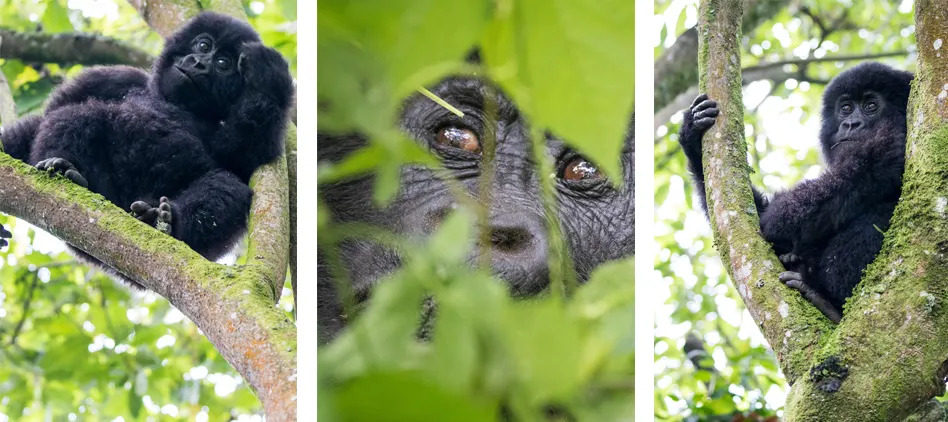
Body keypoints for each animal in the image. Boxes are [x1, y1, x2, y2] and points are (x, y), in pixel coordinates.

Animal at [0, 12, 292, 284]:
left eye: (222, 64)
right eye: (203, 45)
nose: (200, 63)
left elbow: (242, 156)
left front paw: (269, 77)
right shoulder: (108, 77)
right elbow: (38, 124)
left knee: (228, 186)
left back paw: (165, 219)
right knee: (80, 113)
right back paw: (65, 168)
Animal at [676, 62, 908, 322]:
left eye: (871, 106)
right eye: (846, 108)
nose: (851, 124)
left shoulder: (893, 137)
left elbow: (782, 217)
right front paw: (693, 134)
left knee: (878, 214)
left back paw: (822, 299)